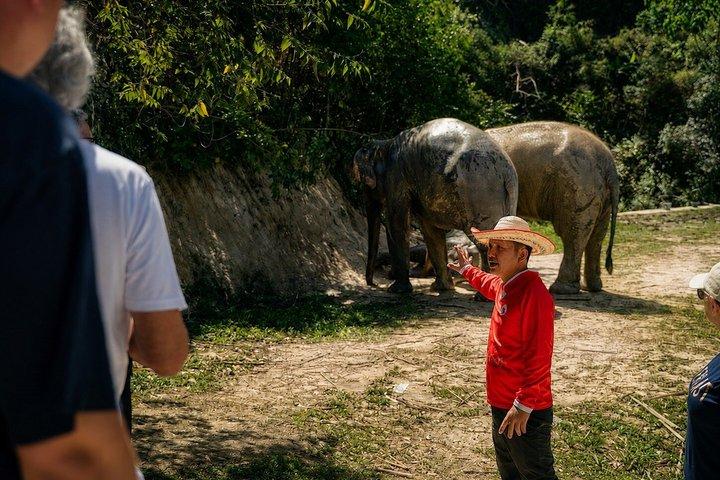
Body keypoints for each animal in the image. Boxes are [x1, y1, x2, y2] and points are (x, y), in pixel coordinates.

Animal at [353, 118, 518, 293]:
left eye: (363, 181)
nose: (373, 284)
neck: (385, 143)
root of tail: (507, 172)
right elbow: (430, 229)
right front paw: (441, 288)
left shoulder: (396, 176)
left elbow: (397, 225)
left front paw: (396, 290)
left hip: (480, 190)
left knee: (485, 241)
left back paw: (482, 295)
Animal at [486, 121, 619, 294]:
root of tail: (609, 164)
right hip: (600, 195)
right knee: (597, 235)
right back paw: (592, 287)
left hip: (578, 186)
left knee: (573, 234)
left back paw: (561, 289)